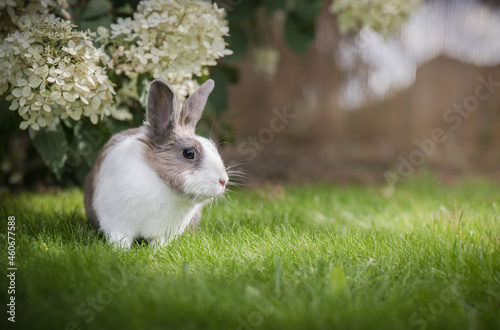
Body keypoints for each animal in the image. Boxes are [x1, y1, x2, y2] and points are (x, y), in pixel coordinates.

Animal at [84, 78, 229, 248]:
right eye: (189, 153)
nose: (223, 181)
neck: (161, 182)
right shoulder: (117, 224)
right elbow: (120, 240)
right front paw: (120, 251)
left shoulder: (166, 232)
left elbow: (159, 244)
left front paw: (155, 251)